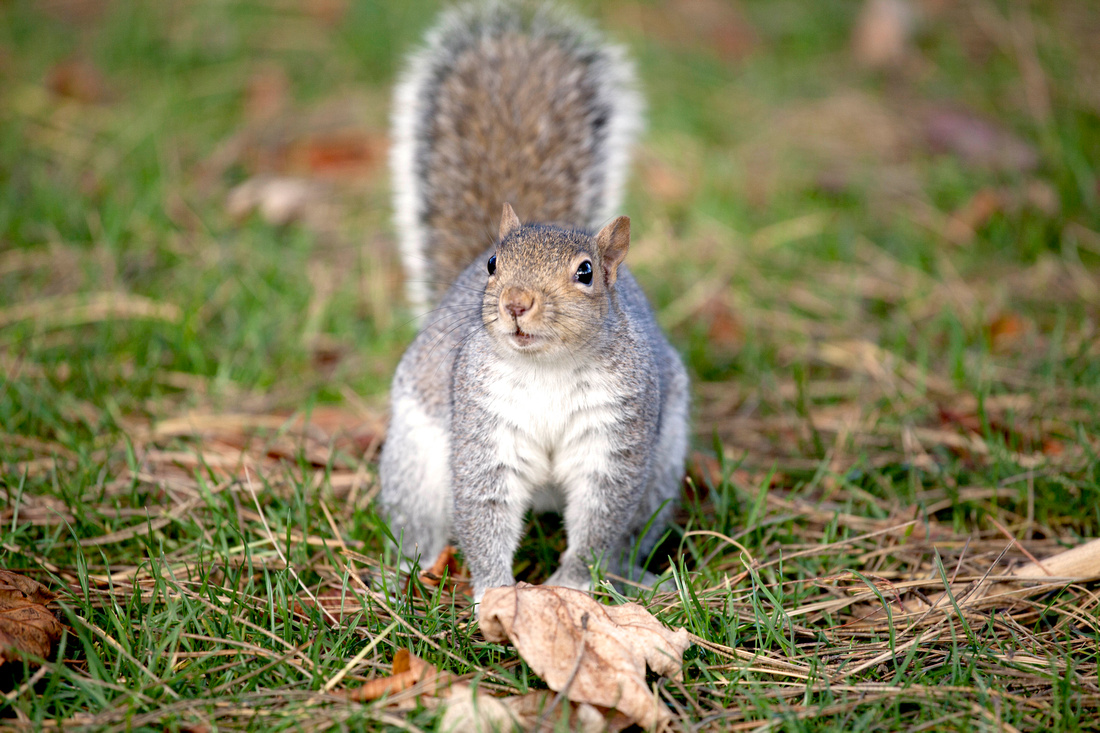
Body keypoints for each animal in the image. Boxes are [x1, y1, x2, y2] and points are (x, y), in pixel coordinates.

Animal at [378, 0, 686, 598]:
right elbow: (484, 506)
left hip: (661, 472)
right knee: (418, 523)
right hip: (414, 462)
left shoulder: (614, 438)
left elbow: (600, 519)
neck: (547, 368)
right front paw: (495, 593)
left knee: (629, 536)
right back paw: (405, 571)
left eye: (586, 272)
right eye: (493, 265)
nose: (516, 303)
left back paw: (637, 579)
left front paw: (571, 585)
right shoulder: (485, 427)